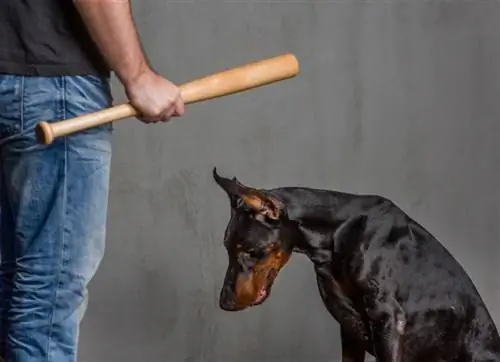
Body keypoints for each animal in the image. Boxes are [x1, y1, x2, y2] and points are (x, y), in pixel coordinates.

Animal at [213, 169, 500, 362]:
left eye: (249, 251)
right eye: (226, 247)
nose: (224, 303)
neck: (337, 233)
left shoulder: (387, 319)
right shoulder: (349, 327)